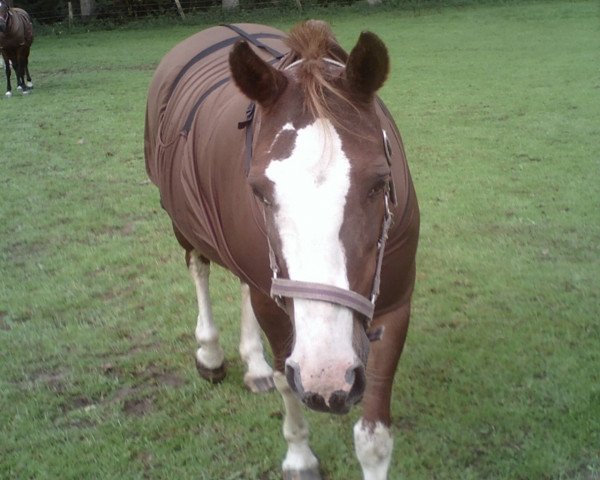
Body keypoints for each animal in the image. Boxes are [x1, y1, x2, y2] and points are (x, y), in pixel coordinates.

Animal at [144, 20, 420, 478]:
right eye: (258, 190)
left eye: (380, 183)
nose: (326, 376)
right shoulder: (275, 311)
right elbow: (285, 384)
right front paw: (299, 456)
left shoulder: (396, 305)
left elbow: (375, 438)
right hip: (184, 224)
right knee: (199, 266)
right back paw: (211, 354)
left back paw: (251, 364)